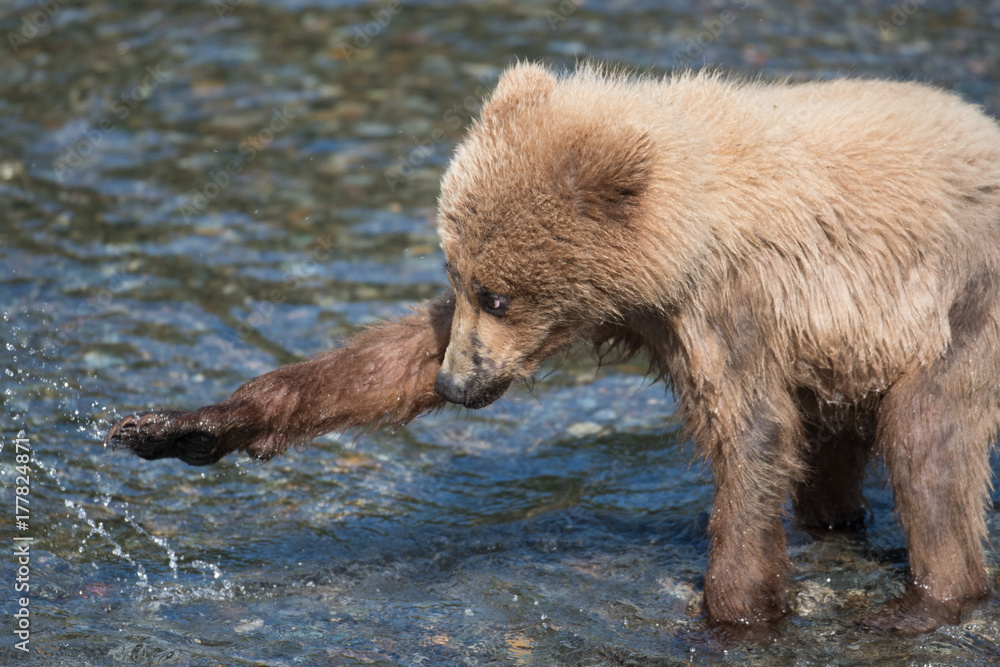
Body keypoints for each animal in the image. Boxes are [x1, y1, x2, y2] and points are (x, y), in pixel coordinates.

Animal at [105, 63, 1000, 635]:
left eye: (500, 292)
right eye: (460, 275)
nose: (457, 383)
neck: (670, 248)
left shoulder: (729, 305)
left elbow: (752, 437)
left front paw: (730, 612)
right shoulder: (650, 311)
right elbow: (389, 357)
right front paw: (181, 427)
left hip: (959, 312)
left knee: (927, 438)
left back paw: (929, 597)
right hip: (855, 356)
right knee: (838, 458)